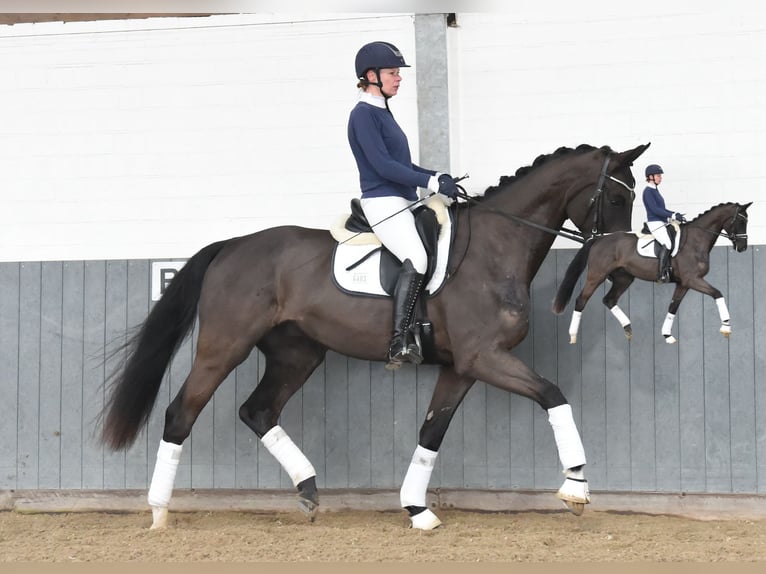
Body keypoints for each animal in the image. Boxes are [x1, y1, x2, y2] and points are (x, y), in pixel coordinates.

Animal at [99, 143, 652, 532]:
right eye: (617, 197)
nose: (622, 267)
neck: (496, 249)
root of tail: (232, 245)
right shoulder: (485, 358)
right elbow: (555, 396)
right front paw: (576, 488)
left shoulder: (461, 367)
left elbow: (431, 434)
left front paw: (417, 510)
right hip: (223, 347)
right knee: (181, 413)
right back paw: (159, 512)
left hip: (297, 353)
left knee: (258, 411)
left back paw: (308, 490)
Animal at [556, 202, 752, 346]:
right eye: (741, 222)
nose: (743, 247)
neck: (696, 241)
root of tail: (597, 239)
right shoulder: (693, 279)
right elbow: (718, 293)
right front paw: (726, 326)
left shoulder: (684, 283)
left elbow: (673, 307)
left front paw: (667, 335)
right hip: (596, 275)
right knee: (581, 300)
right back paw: (572, 335)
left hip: (624, 278)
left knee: (609, 300)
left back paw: (628, 328)